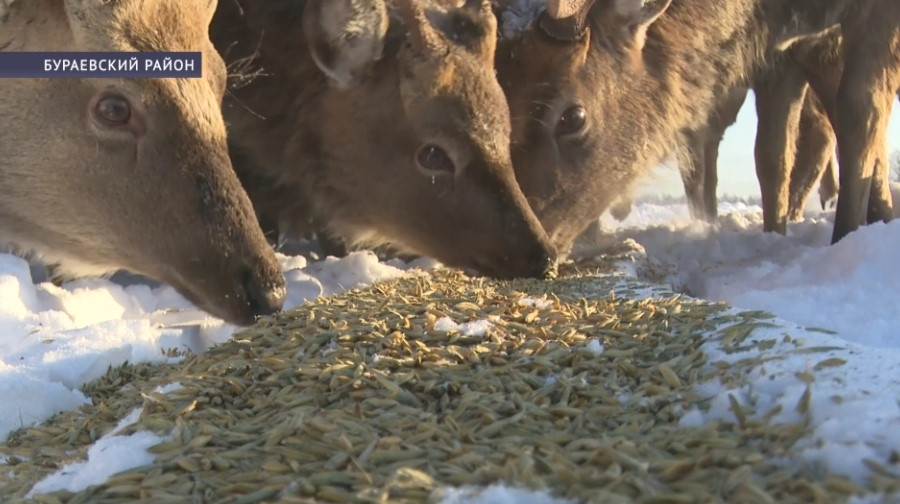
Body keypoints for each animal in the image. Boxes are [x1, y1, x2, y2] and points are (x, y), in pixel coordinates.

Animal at [492, 0, 900, 256]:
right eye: (500, 88)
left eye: (573, 117)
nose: (521, 245)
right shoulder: (786, 47)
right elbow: (771, 155)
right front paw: (775, 233)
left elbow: (860, 111)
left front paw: (846, 234)